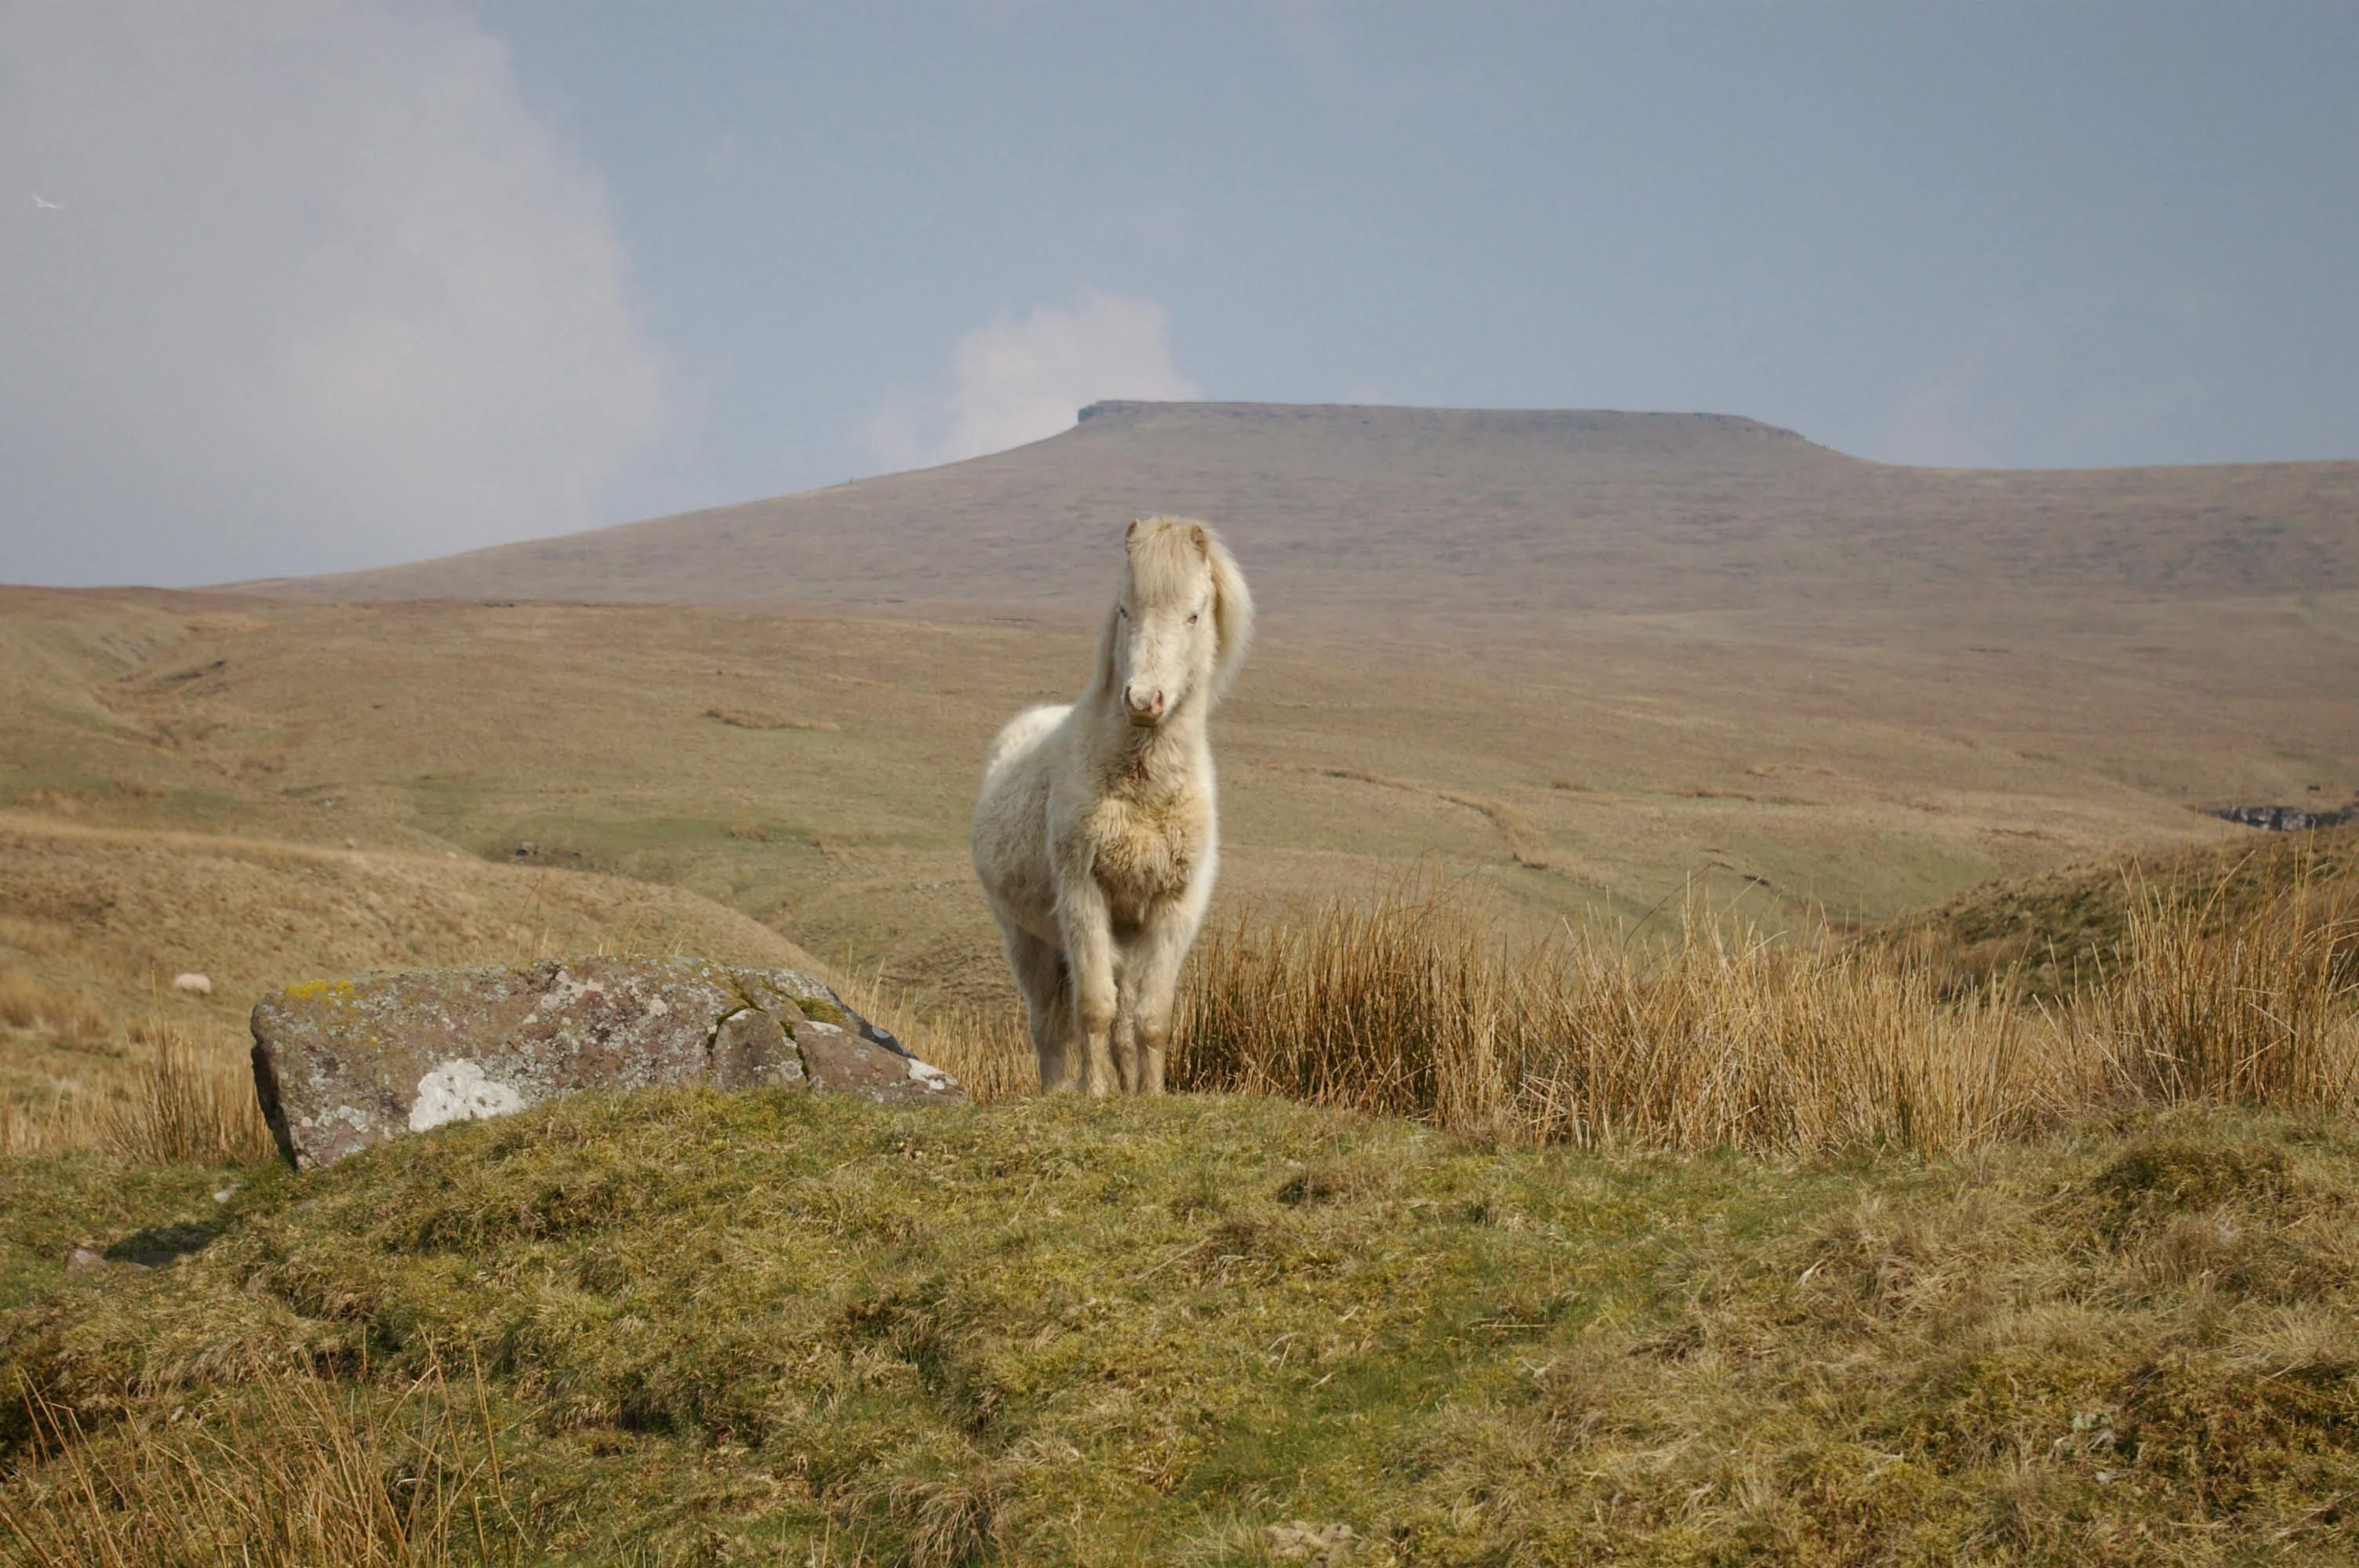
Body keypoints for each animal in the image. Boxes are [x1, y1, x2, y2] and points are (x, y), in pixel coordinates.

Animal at [970, 518, 1254, 1095]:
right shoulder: (1084, 896)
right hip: (1027, 940)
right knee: (1048, 1025)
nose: (1144, 701)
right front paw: (1095, 1094)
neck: (1143, 792)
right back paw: (1057, 1090)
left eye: (1193, 614)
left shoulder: (1172, 909)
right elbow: (1094, 1010)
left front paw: (1148, 1094)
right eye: (1125, 609)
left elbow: (1151, 1019)